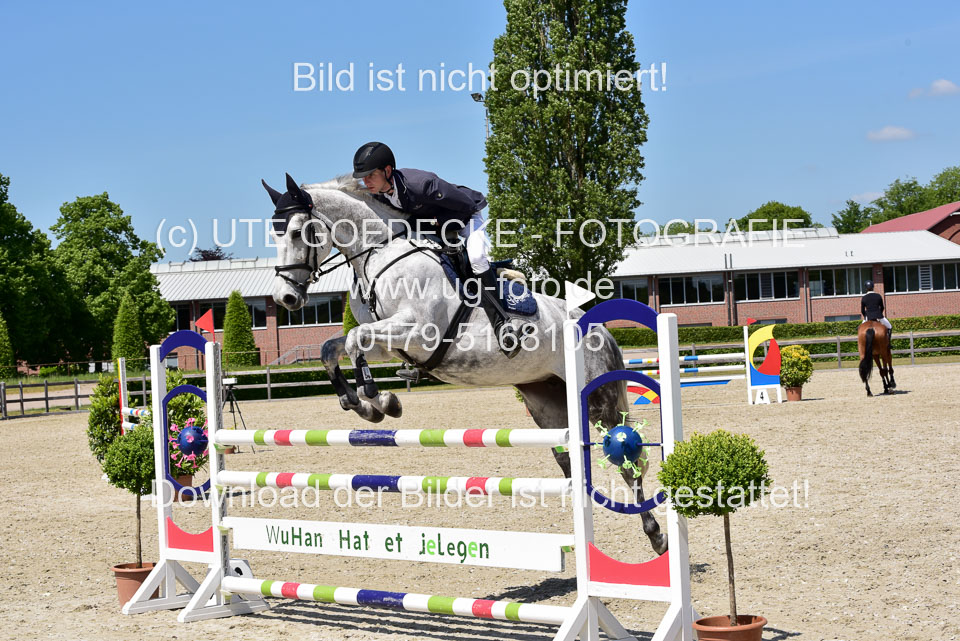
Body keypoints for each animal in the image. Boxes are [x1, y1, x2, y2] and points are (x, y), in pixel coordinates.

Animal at [262, 173, 667, 555]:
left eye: (298, 232)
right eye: (275, 234)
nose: (285, 298)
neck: (379, 255)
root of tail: (597, 326)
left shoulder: (417, 331)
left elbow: (351, 341)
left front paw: (378, 400)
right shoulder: (392, 344)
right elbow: (332, 348)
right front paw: (361, 405)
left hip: (597, 399)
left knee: (627, 457)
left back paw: (656, 535)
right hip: (547, 401)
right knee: (568, 458)